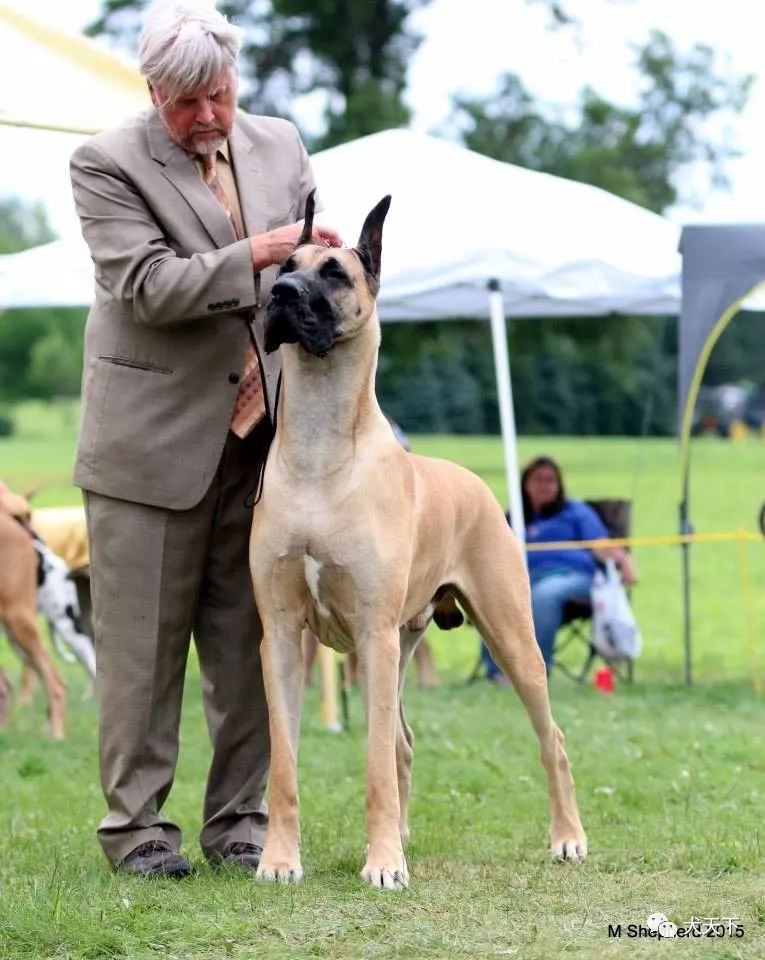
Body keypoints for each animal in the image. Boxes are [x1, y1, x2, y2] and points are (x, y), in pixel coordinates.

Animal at [251, 191, 584, 888]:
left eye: (334, 273)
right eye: (285, 266)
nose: (283, 295)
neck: (320, 447)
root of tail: (478, 486)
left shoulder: (372, 633)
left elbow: (374, 761)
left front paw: (382, 865)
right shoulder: (282, 633)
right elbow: (283, 763)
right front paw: (278, 860)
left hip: (509, 635)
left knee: (551, 740)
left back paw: (567, 838)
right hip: (403, 643)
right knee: (403, 739)